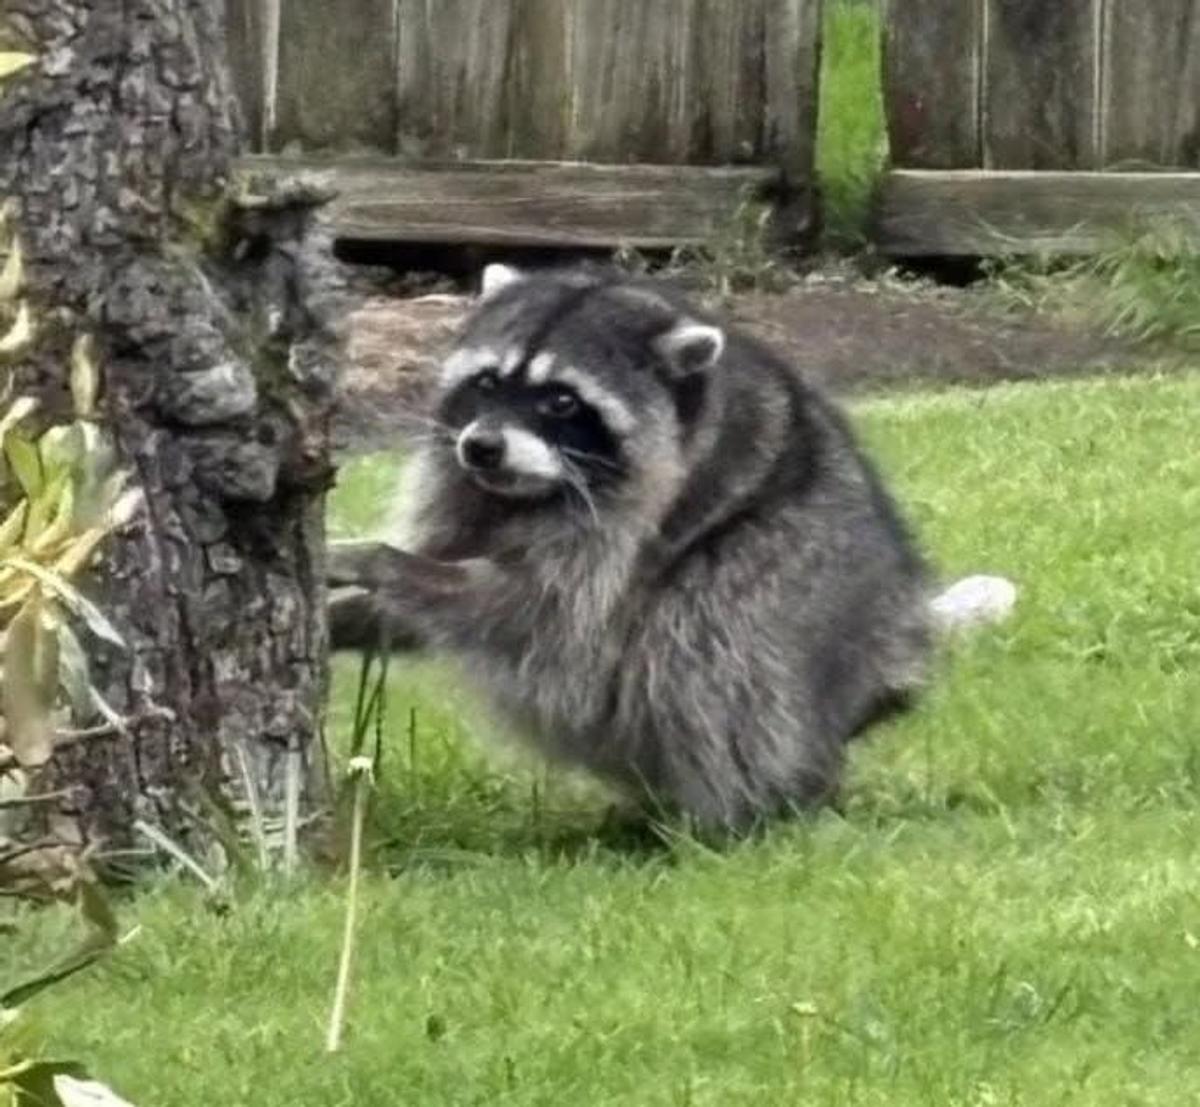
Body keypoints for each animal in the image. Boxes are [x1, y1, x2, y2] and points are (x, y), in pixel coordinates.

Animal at [328, 263, 940, 830]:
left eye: (562, 402)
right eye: (487, 383)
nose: (482, 448)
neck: (528, 493)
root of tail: (888, 666)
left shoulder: (629, 525)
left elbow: (531, 611)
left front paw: (380, 561)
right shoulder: (464, 492)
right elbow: (428, 599)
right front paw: (349, 613)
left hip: (796, 583)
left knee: (709, 638)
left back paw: (735, 814)